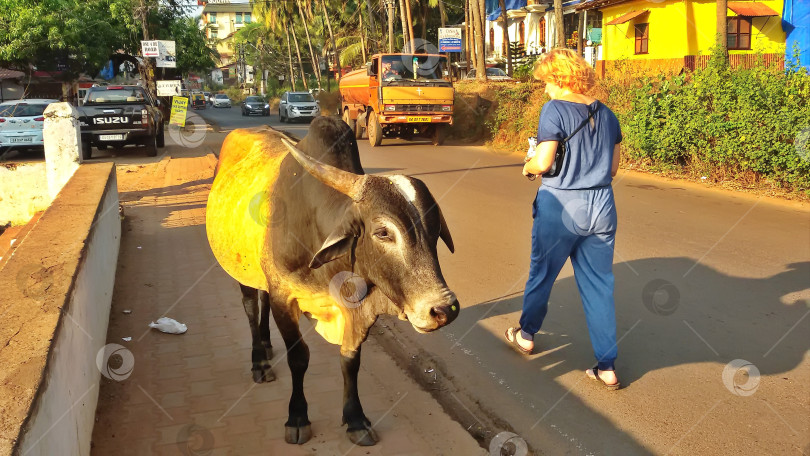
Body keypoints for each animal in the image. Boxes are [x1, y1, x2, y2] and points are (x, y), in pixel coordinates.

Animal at [205, 116, 458, 446]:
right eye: (383, 232)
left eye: (435, 228)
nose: (443, 310)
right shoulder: (284, 297)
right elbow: (299, 357)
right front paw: (297, 417)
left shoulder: (358, 310)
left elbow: (350, 359)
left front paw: (355, 419)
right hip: (240, 268)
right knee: (250, 306)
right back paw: (259, 361)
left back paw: (267, 345)